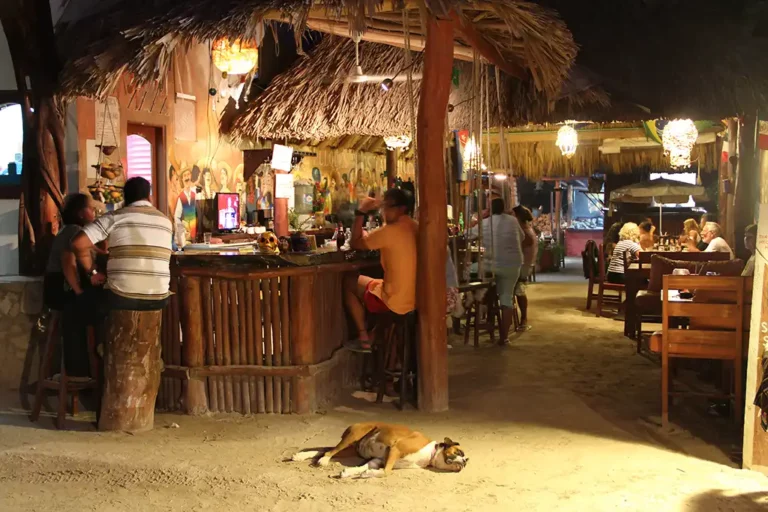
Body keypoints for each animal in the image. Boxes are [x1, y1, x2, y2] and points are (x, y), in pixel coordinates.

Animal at [290, 422, 464, 478]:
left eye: (465, 459)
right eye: (459, 453)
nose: (464, 462)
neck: (431, 454)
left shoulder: (378, 460)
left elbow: (365, 468)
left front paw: (352, 473)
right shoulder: (395, 449)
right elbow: (386, 472)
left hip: (350, 449)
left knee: (325, 449)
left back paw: (300, 456)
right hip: (352, 437)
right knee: (328, 452)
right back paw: (323, 460)